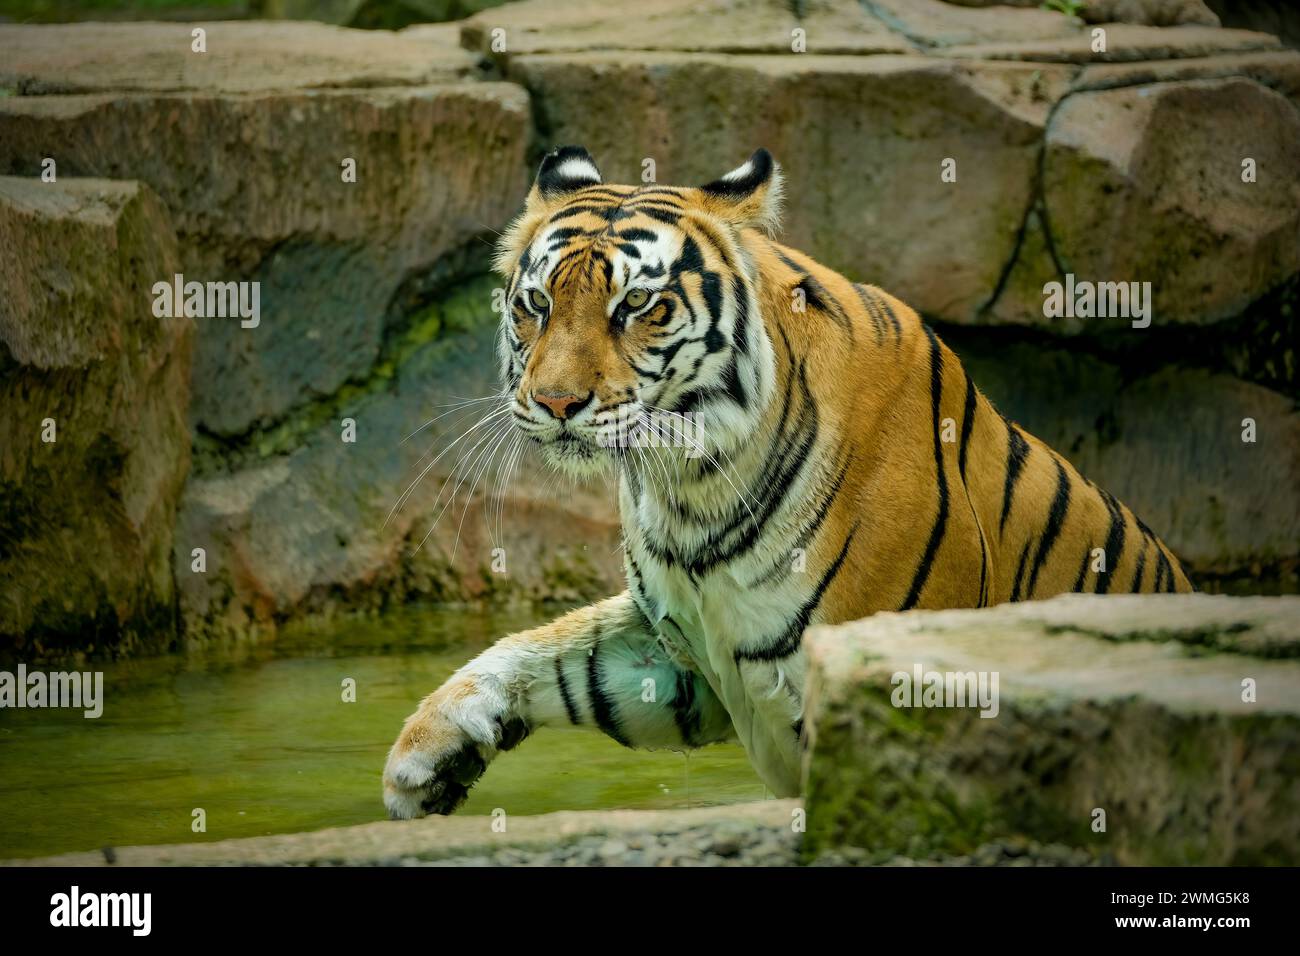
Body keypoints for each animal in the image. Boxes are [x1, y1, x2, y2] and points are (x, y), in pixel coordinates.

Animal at [382, 146, 1193, 818]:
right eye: (536, 305)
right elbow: (552, 655)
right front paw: (426, 755)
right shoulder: (682, 655)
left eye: (637, 305)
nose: (555, 403)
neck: (692, 487)